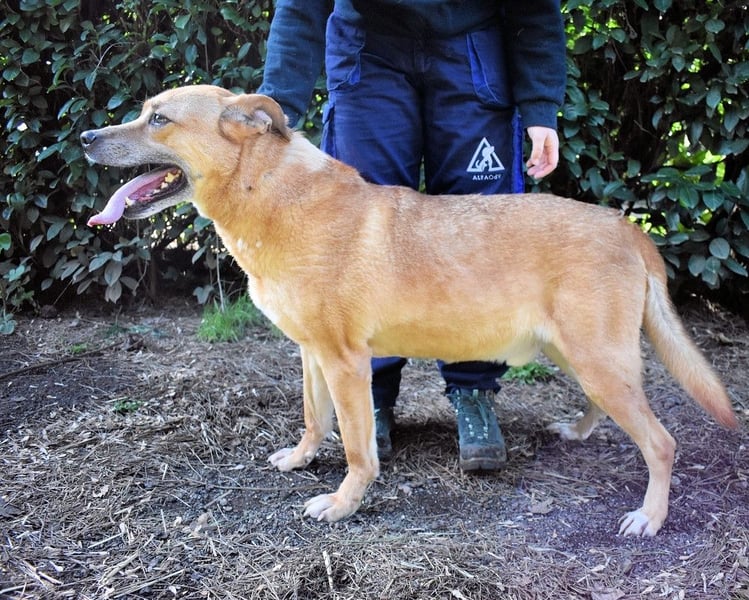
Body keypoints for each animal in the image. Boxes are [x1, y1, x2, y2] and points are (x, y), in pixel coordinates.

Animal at [80, 85, 737, 537]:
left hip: (594, 356)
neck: (271, 194)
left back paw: (650, 517)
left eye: (158, 119)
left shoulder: (345, 361)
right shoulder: (312, 354)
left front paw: (343, 503)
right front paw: (300, 459)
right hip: (576, 353)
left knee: (661, 442)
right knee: (608, 407)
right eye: (144, 111)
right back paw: (577, 432)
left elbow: (356, 447)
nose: (85, 139)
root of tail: (629, 228)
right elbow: (314, 420)